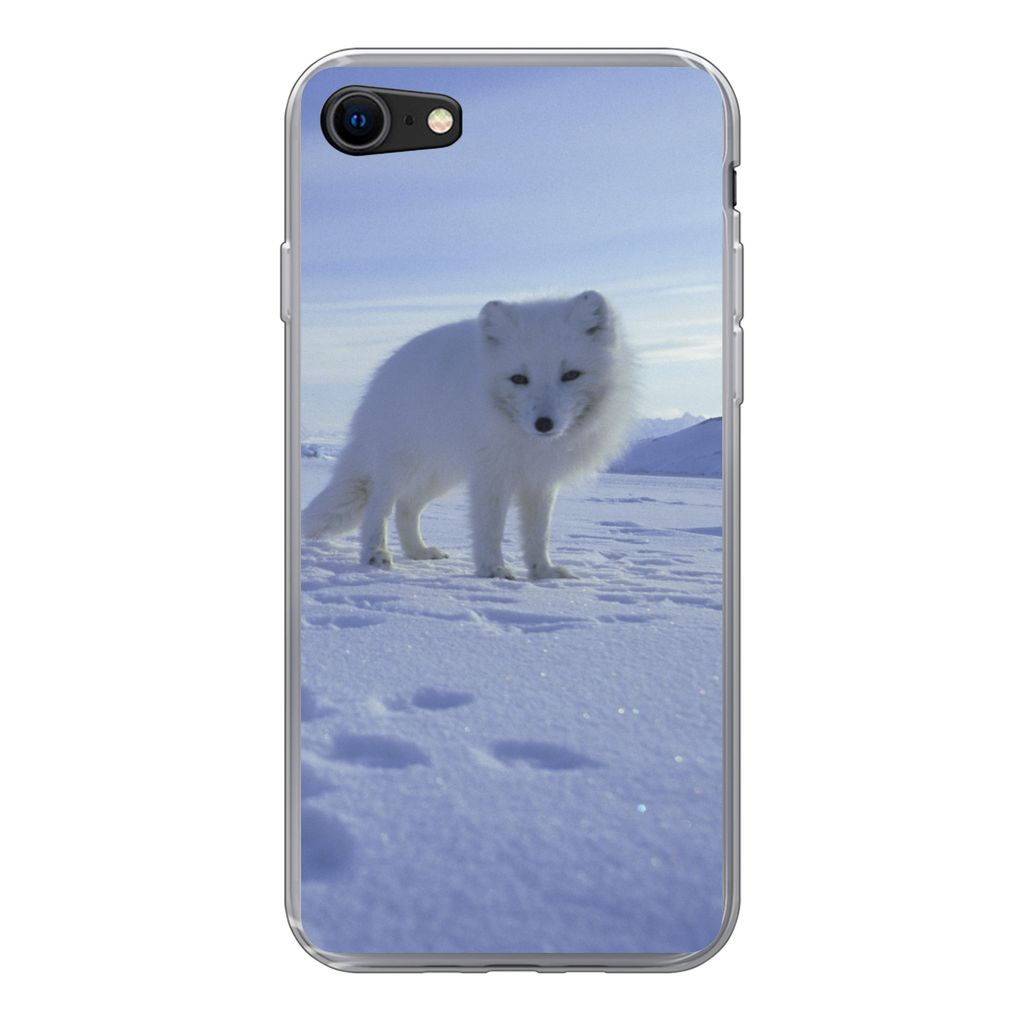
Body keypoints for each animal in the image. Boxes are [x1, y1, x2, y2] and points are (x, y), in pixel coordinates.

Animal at [302, 291, 635, 579]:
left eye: (570, 375)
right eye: (519, 378)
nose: (543, 423)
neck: (526, 440)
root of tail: (385, 371)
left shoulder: (540, 480)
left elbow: (538, 533)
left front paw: (543, 572)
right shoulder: (492, 475)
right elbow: (491, 528)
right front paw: (494, 570)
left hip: (441, 474)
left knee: (406, 506)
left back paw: (418, 551)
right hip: (401, 466)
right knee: (378, 506)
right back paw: (375, 554)